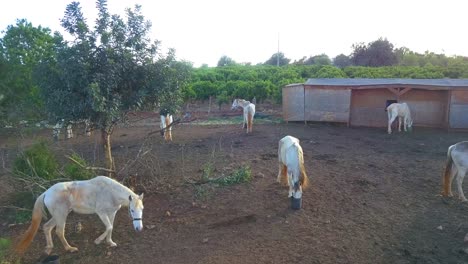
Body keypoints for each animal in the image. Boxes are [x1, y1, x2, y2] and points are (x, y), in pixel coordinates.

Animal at [15, 176, 144, 255]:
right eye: (132, 210)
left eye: (142, 209)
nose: (139, 228)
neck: (110, 192)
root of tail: (46, 192)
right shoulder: (101, 212)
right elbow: (109, 227)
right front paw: (98, 241)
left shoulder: (112, 213)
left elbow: (110, 228)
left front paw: (110, 242)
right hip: (61, 215)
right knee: (59, 231)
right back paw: (70, 249)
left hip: (58, 215)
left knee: (47, 227)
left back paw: (49, 248)